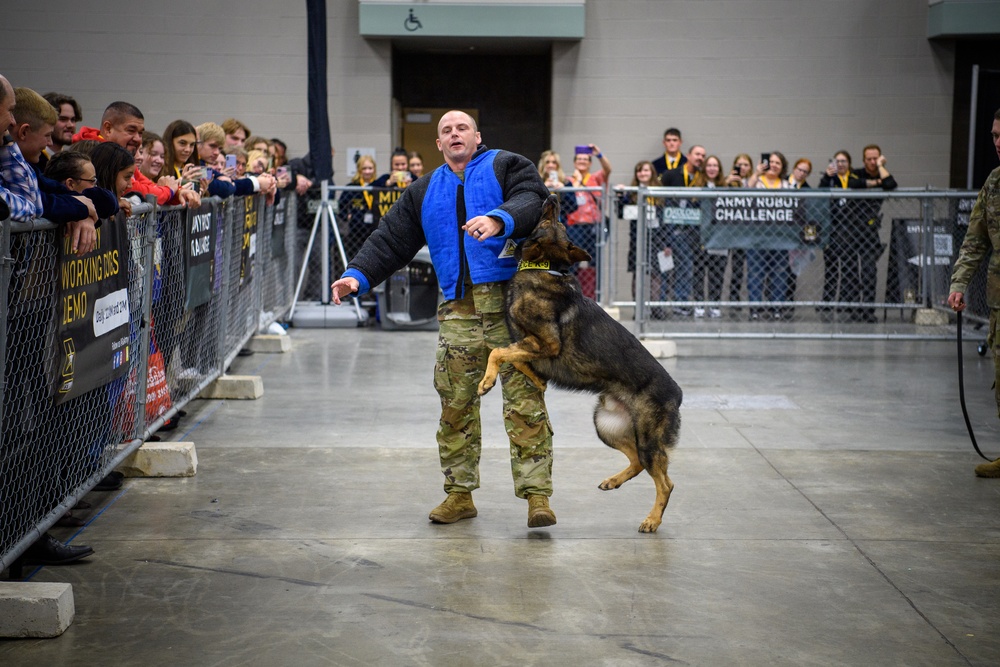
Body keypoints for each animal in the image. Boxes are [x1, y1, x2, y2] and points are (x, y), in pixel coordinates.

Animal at [478, 193, 684, 532]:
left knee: (665, 482)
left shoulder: (548, 343)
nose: (552, 196)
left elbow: (498, 351)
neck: (544, 268)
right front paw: (537, 379)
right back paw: (613, 481)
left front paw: (487, 380)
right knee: (638, 462)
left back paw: (652, 520)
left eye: (554, 220)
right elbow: (514, 354)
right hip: (606, 425)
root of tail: (678, 394)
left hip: (646, 437)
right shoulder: (532, 345)